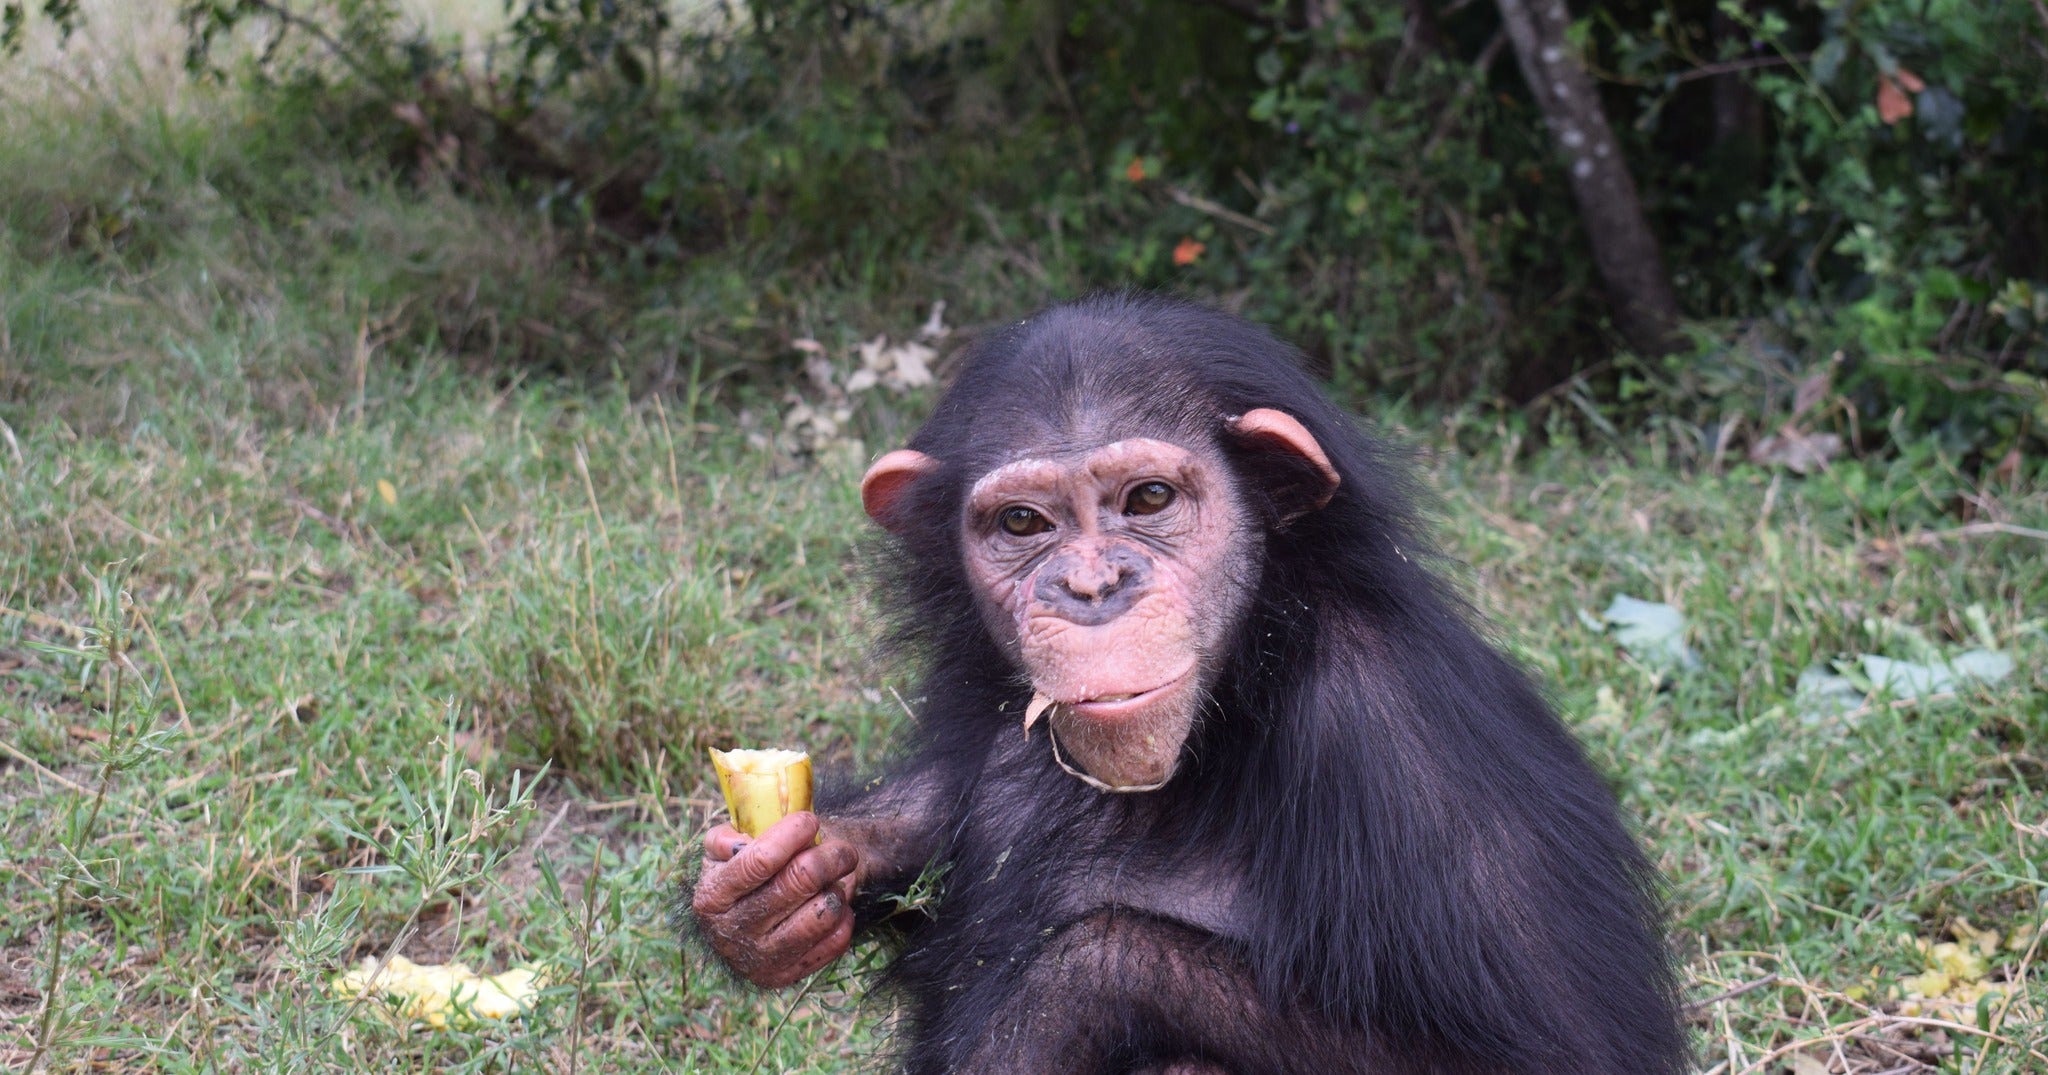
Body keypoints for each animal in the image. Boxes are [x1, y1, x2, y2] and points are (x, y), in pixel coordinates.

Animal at [696, 292, 1687, 1072]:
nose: (1091, 585)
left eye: (1148, 500)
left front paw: (1077, 981)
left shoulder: (1407, 752)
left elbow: (1558, 1053)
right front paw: (776, 886)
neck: (1247, 674)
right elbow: (929, 812)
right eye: (1022, 523)